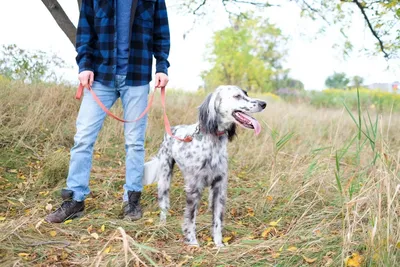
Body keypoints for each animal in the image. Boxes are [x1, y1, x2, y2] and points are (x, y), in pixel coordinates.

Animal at [142, 85, 268, 247]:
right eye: (237, 96)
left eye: (246, 93)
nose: (263, 103)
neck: (213, 142)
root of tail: (171, 130)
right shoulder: (194, 188)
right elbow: (190, 219)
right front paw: (193, 243)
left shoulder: (219, 187)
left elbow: (217, 221)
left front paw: (219, 244)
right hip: (164, 179)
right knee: (164, 206)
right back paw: (162, 225)